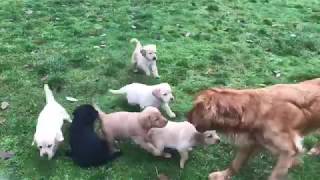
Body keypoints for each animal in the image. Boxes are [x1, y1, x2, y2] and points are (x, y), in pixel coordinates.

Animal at [188, 78, 320, 180]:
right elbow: (235, 163)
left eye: (195, 108)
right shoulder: (252, 141)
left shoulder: (289, 151)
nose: (186, 117)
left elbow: (275, 175)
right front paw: (223, 175)